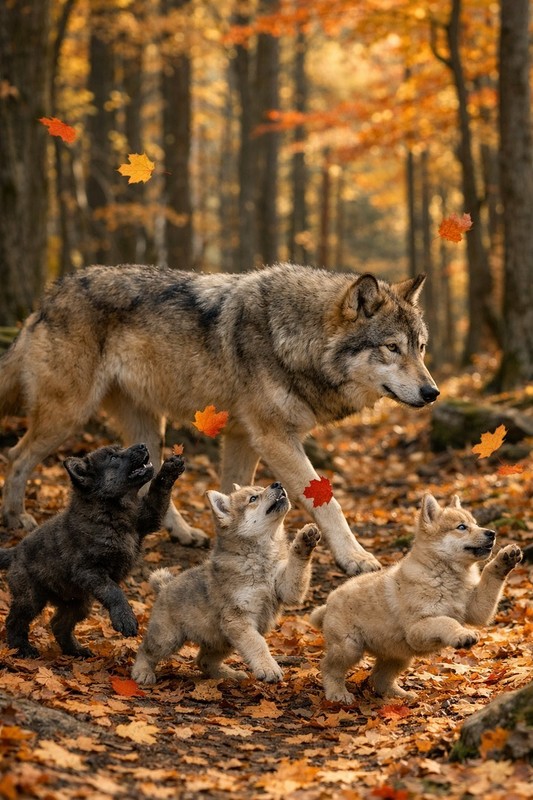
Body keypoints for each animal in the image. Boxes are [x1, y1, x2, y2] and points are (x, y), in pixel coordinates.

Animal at [0, 263, 439, 575]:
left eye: (420, 348)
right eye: (392, 348)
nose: (432, 393)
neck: (296, 338)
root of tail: (50, 294)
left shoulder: (243, 438)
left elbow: (236, 493)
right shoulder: (273, 437)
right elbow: (328, 503)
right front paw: (355, 558)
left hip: (147, 431)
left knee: (150, 479)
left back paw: (181, 533)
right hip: (68, 415)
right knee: (16, 456)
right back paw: (16, 516)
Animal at [0, 444, 185, 657]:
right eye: (113, 457)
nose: (143, 445)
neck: (115, 509)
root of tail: (14, 552)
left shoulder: (148, 517)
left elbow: (158, 492)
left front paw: (170, 467)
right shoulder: (90, 569)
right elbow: (114, 592)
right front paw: (125, 619)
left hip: (78, 601)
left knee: (58, 624)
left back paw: (76, 650)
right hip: (30, 597)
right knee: (15, 621)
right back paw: (22, 648)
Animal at [132, 481, 321, 685]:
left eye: (260, 489)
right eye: (253, 498)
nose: (277, 484)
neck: (261, 560)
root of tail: (164, 586)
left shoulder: (287, 588)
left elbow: (297, 566)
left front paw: (305, 540)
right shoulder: (238, 617)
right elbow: (258, 644)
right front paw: (268, 667)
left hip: (223, 641)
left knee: (203, 661)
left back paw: (230, 675)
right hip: (168, 638)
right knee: (145, 650)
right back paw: (142, 672)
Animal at [310, 494, 522, 703]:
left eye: (476, 524)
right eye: (462, 527)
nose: (491, 533)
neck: (447, 576)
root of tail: (328, 602)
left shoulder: (477, 609)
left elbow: (489, 576)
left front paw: (505, 558)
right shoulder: (417, 629)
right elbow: (446, 621)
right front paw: (462, 635)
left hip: (398, 655)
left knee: (378, 678)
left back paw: (399, 695)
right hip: (349, 646)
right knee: (328, 667)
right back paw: (337, 693)